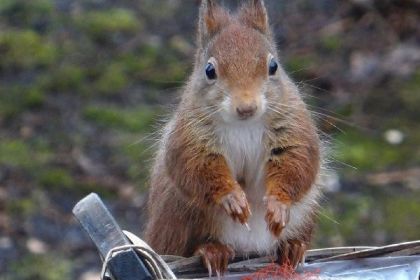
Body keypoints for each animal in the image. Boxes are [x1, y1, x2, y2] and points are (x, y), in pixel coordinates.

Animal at [144, 0, 322, 276]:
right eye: (209, 70)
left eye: (273, 66)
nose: (246, 107)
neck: (243, 125)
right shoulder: (190, 136)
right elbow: (197, 167)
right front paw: (232, 198)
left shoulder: (295, 129)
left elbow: (297, 164)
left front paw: (278, 205)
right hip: (182, 213)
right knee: (192, 243)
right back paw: (212, 251)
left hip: (306, 211)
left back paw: (292, 246)